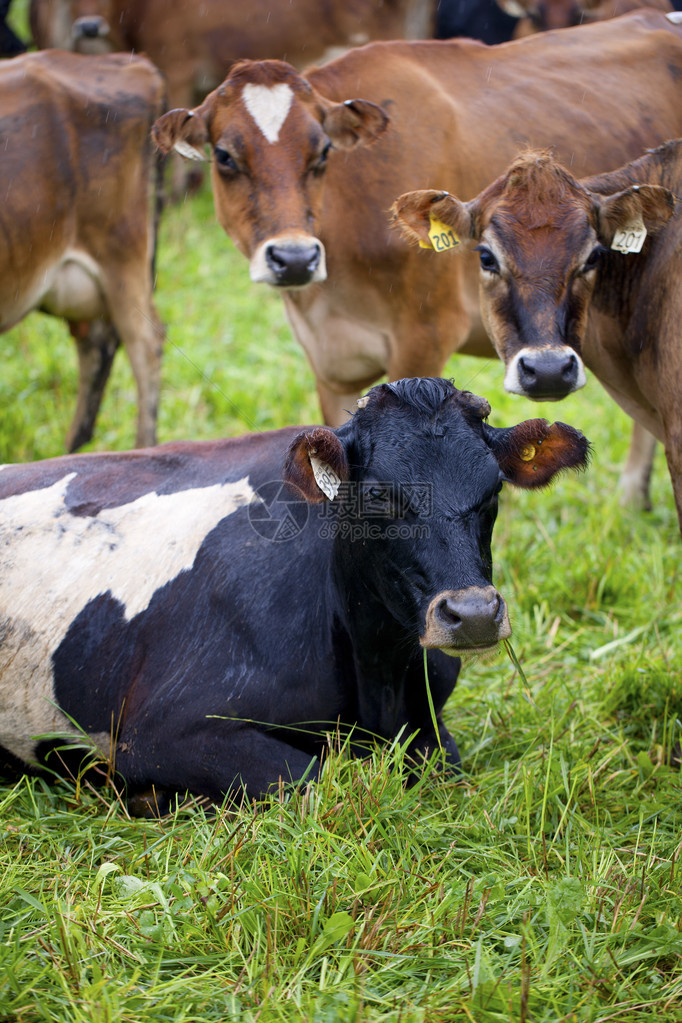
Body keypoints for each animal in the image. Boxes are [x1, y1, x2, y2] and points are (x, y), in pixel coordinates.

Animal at [0, 376, 588, 806]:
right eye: (377, 495)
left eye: (493, 490)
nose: (475, 612)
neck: (376, 675)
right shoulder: (161, 732)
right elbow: (315, 779)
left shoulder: (430, 716)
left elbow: (443, 764)